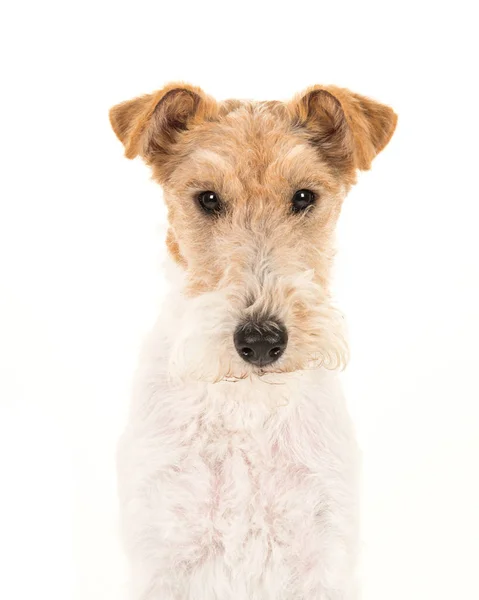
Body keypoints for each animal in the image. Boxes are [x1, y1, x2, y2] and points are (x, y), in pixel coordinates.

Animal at [109, 81, 398, 600]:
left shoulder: (322, 551)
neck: (247, 404)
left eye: (304, 196)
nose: (261, 340)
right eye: (207, 198)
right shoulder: (163, 551)